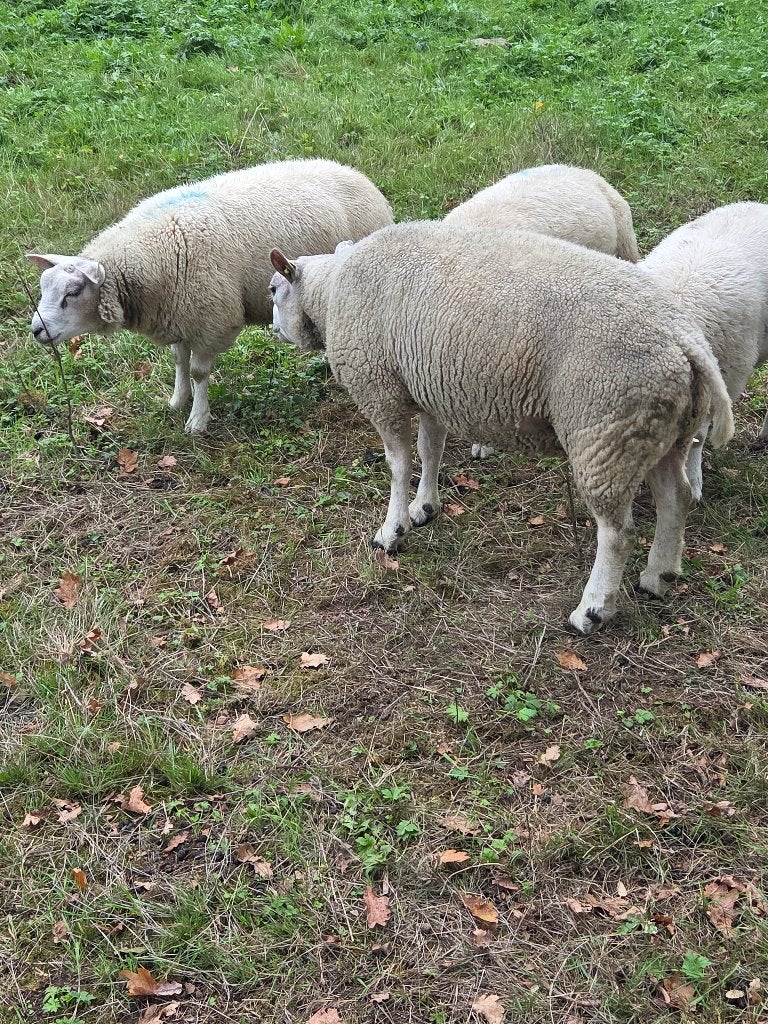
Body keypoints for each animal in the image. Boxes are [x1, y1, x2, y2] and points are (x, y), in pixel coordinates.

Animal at [28, 158, 393, 433]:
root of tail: (360, 177)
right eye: (44, 286)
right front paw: (177, 401)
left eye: (73, 292)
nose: (36, 331)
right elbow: (179, 361)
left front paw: (197, 420)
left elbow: (199, 372)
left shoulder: (212, 319)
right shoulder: (178, 313)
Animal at [268, 221, 733, 634]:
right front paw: (425, 508)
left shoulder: (380, 389)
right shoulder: (429, 387)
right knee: (676, 498)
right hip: (657, 433)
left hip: (604, 429)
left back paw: (592, 610)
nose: (272, 329)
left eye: (273, 289)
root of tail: (686, 340)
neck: (331, 291)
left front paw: (392, 530)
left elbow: (399, 465)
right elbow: (430, 451)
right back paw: (659, 577)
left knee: (617, 533)